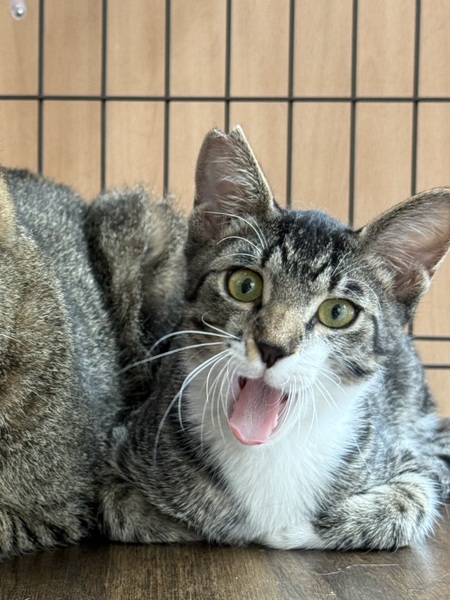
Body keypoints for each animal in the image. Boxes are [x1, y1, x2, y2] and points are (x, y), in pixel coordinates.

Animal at [99, 125, 450, 551]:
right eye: (244, 284)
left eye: (337, 312)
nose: (272, 347)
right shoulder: (119, 454)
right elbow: (126, 511)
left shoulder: (415, 465)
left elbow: (407, 506)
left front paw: (294, 530)